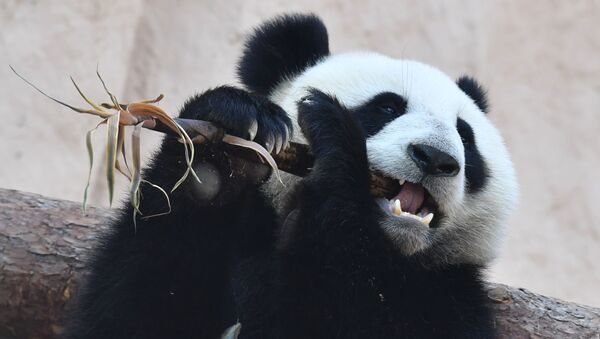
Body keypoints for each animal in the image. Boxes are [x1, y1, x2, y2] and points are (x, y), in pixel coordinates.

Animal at [64, 13, 516, 339]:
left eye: (465, 136)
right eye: (387, 107)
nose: (436, 158)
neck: (390, 249)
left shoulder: (446, 295)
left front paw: (335, 141)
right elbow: (133, 310)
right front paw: (220, 151)